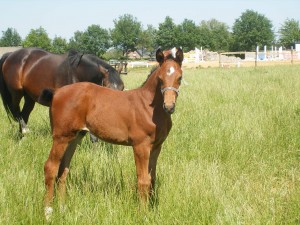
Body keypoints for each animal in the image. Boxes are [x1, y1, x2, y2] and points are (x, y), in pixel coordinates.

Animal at [38, 48, 184, 220]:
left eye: (180, 77)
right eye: (160, 78)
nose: (169, 107)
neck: (148, 107)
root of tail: (57, 92)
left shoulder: (156, 147)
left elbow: (152, 178)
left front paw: (152, 209)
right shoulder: (140, 146)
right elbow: (143, 180)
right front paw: (143, 214)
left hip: (74, 138)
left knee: (63, 170)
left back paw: (62, 209)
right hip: (60, 137)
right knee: (50, 167)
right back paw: (48, 212)